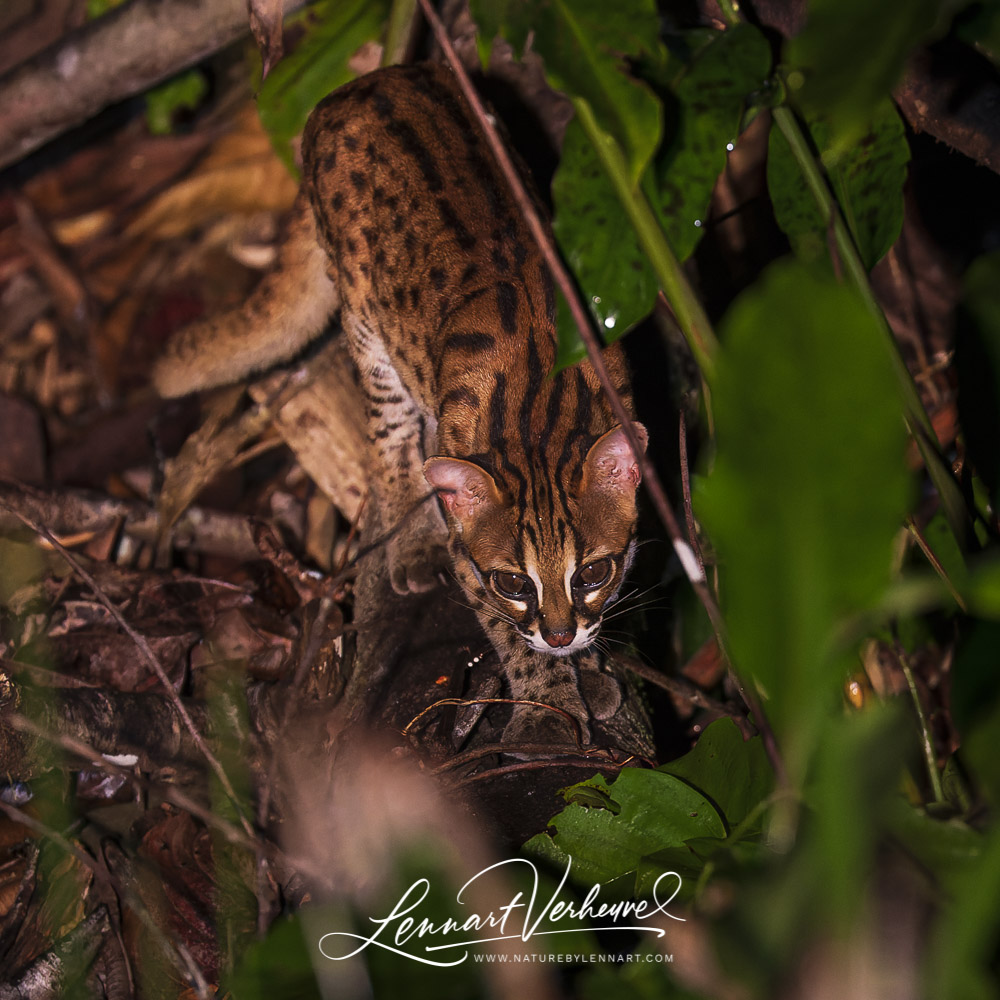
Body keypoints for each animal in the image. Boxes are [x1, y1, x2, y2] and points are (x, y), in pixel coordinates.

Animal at [152, 62, 644, 736]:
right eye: (512, 583)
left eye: (594, 571)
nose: (562, 636)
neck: (541, 414)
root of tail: (361, 84)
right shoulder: (466, 533)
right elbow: (504, 629)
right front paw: (548, 703)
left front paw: (585, 670)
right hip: (367, 328)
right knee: (385, 438)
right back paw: (410, 539)